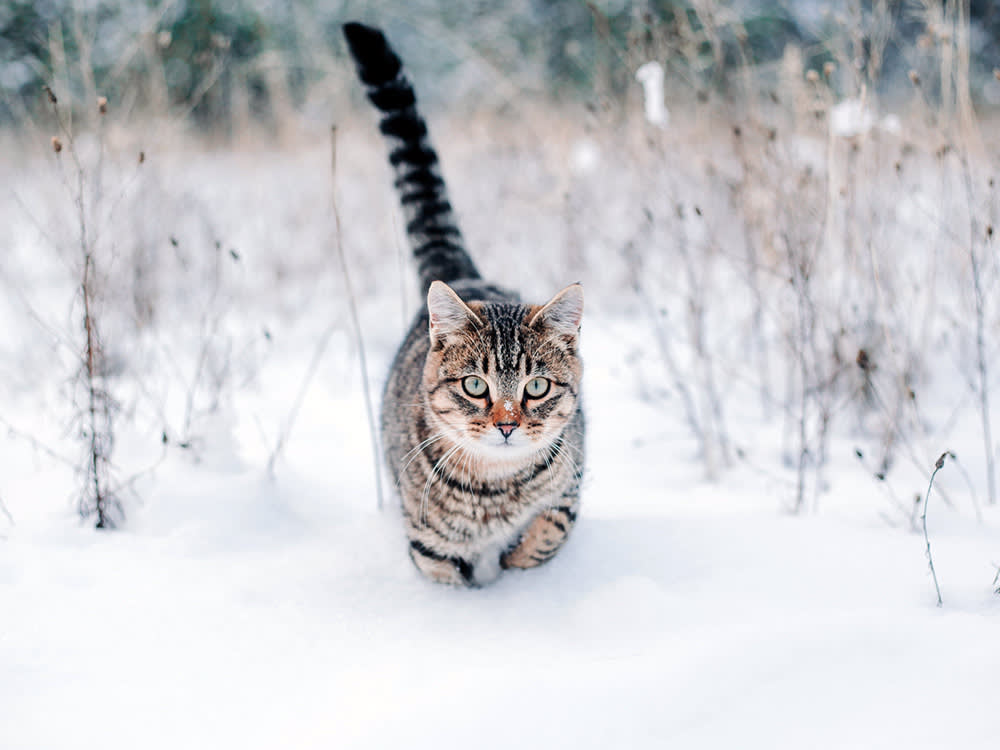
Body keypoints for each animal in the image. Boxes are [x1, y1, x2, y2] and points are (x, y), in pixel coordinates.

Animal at [342, 22, 584, 588]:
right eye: (475, 385)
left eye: (537, 386)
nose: (507, 424)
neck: (496, 489)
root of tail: (463, 273)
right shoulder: (429, 546)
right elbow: (447, 577)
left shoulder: (570, 482)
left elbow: (548, 530)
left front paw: (518, 565)